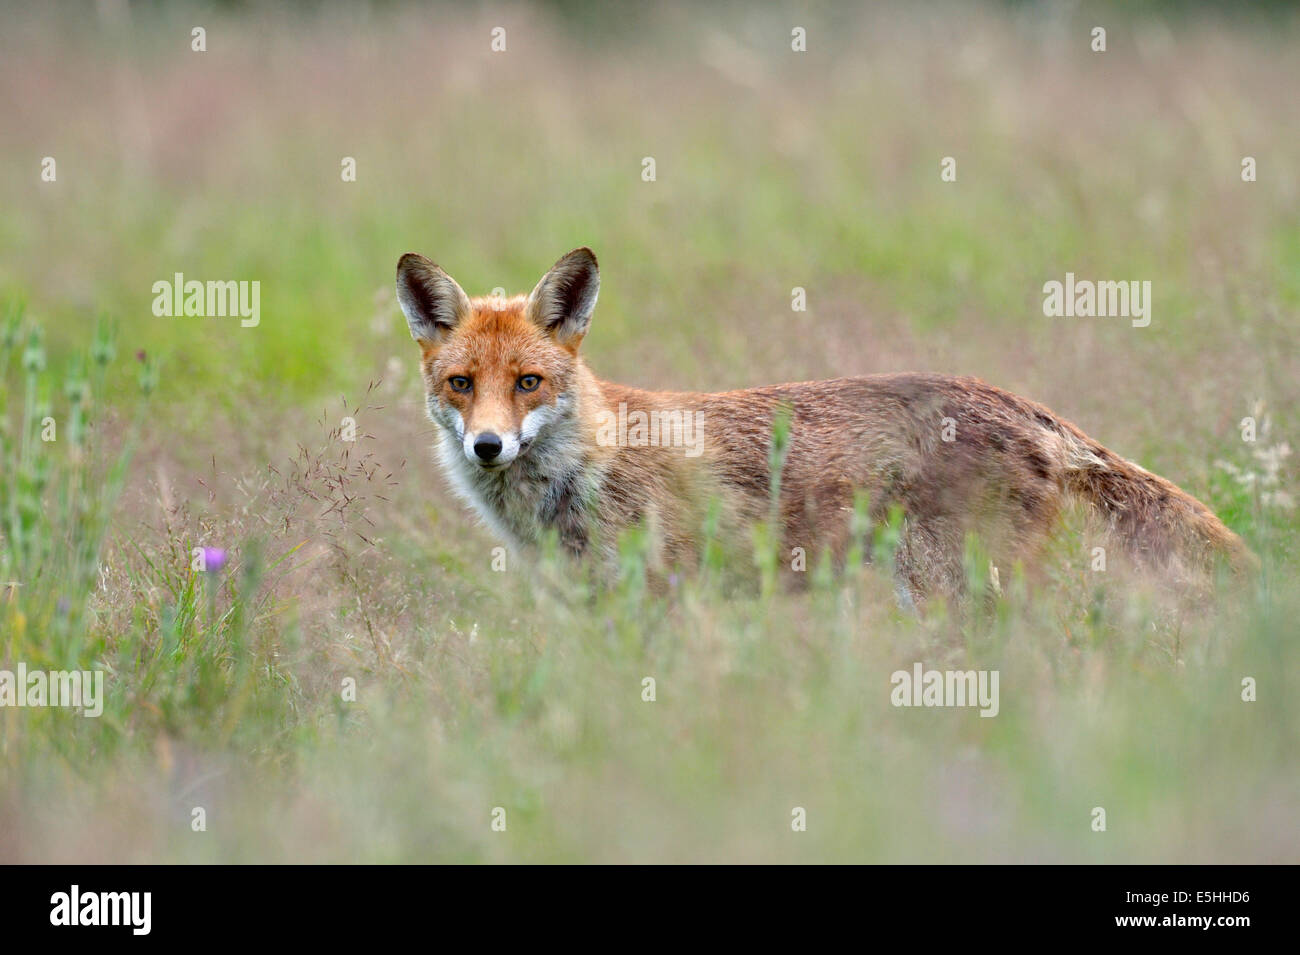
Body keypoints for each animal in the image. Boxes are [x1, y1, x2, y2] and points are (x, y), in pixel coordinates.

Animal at [396, 247, 1253, 605]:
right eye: (463, 384)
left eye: (529, 383)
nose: (488, 445)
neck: (588, 467)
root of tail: (1019, 402)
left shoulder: (660, 595)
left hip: (947, 588)